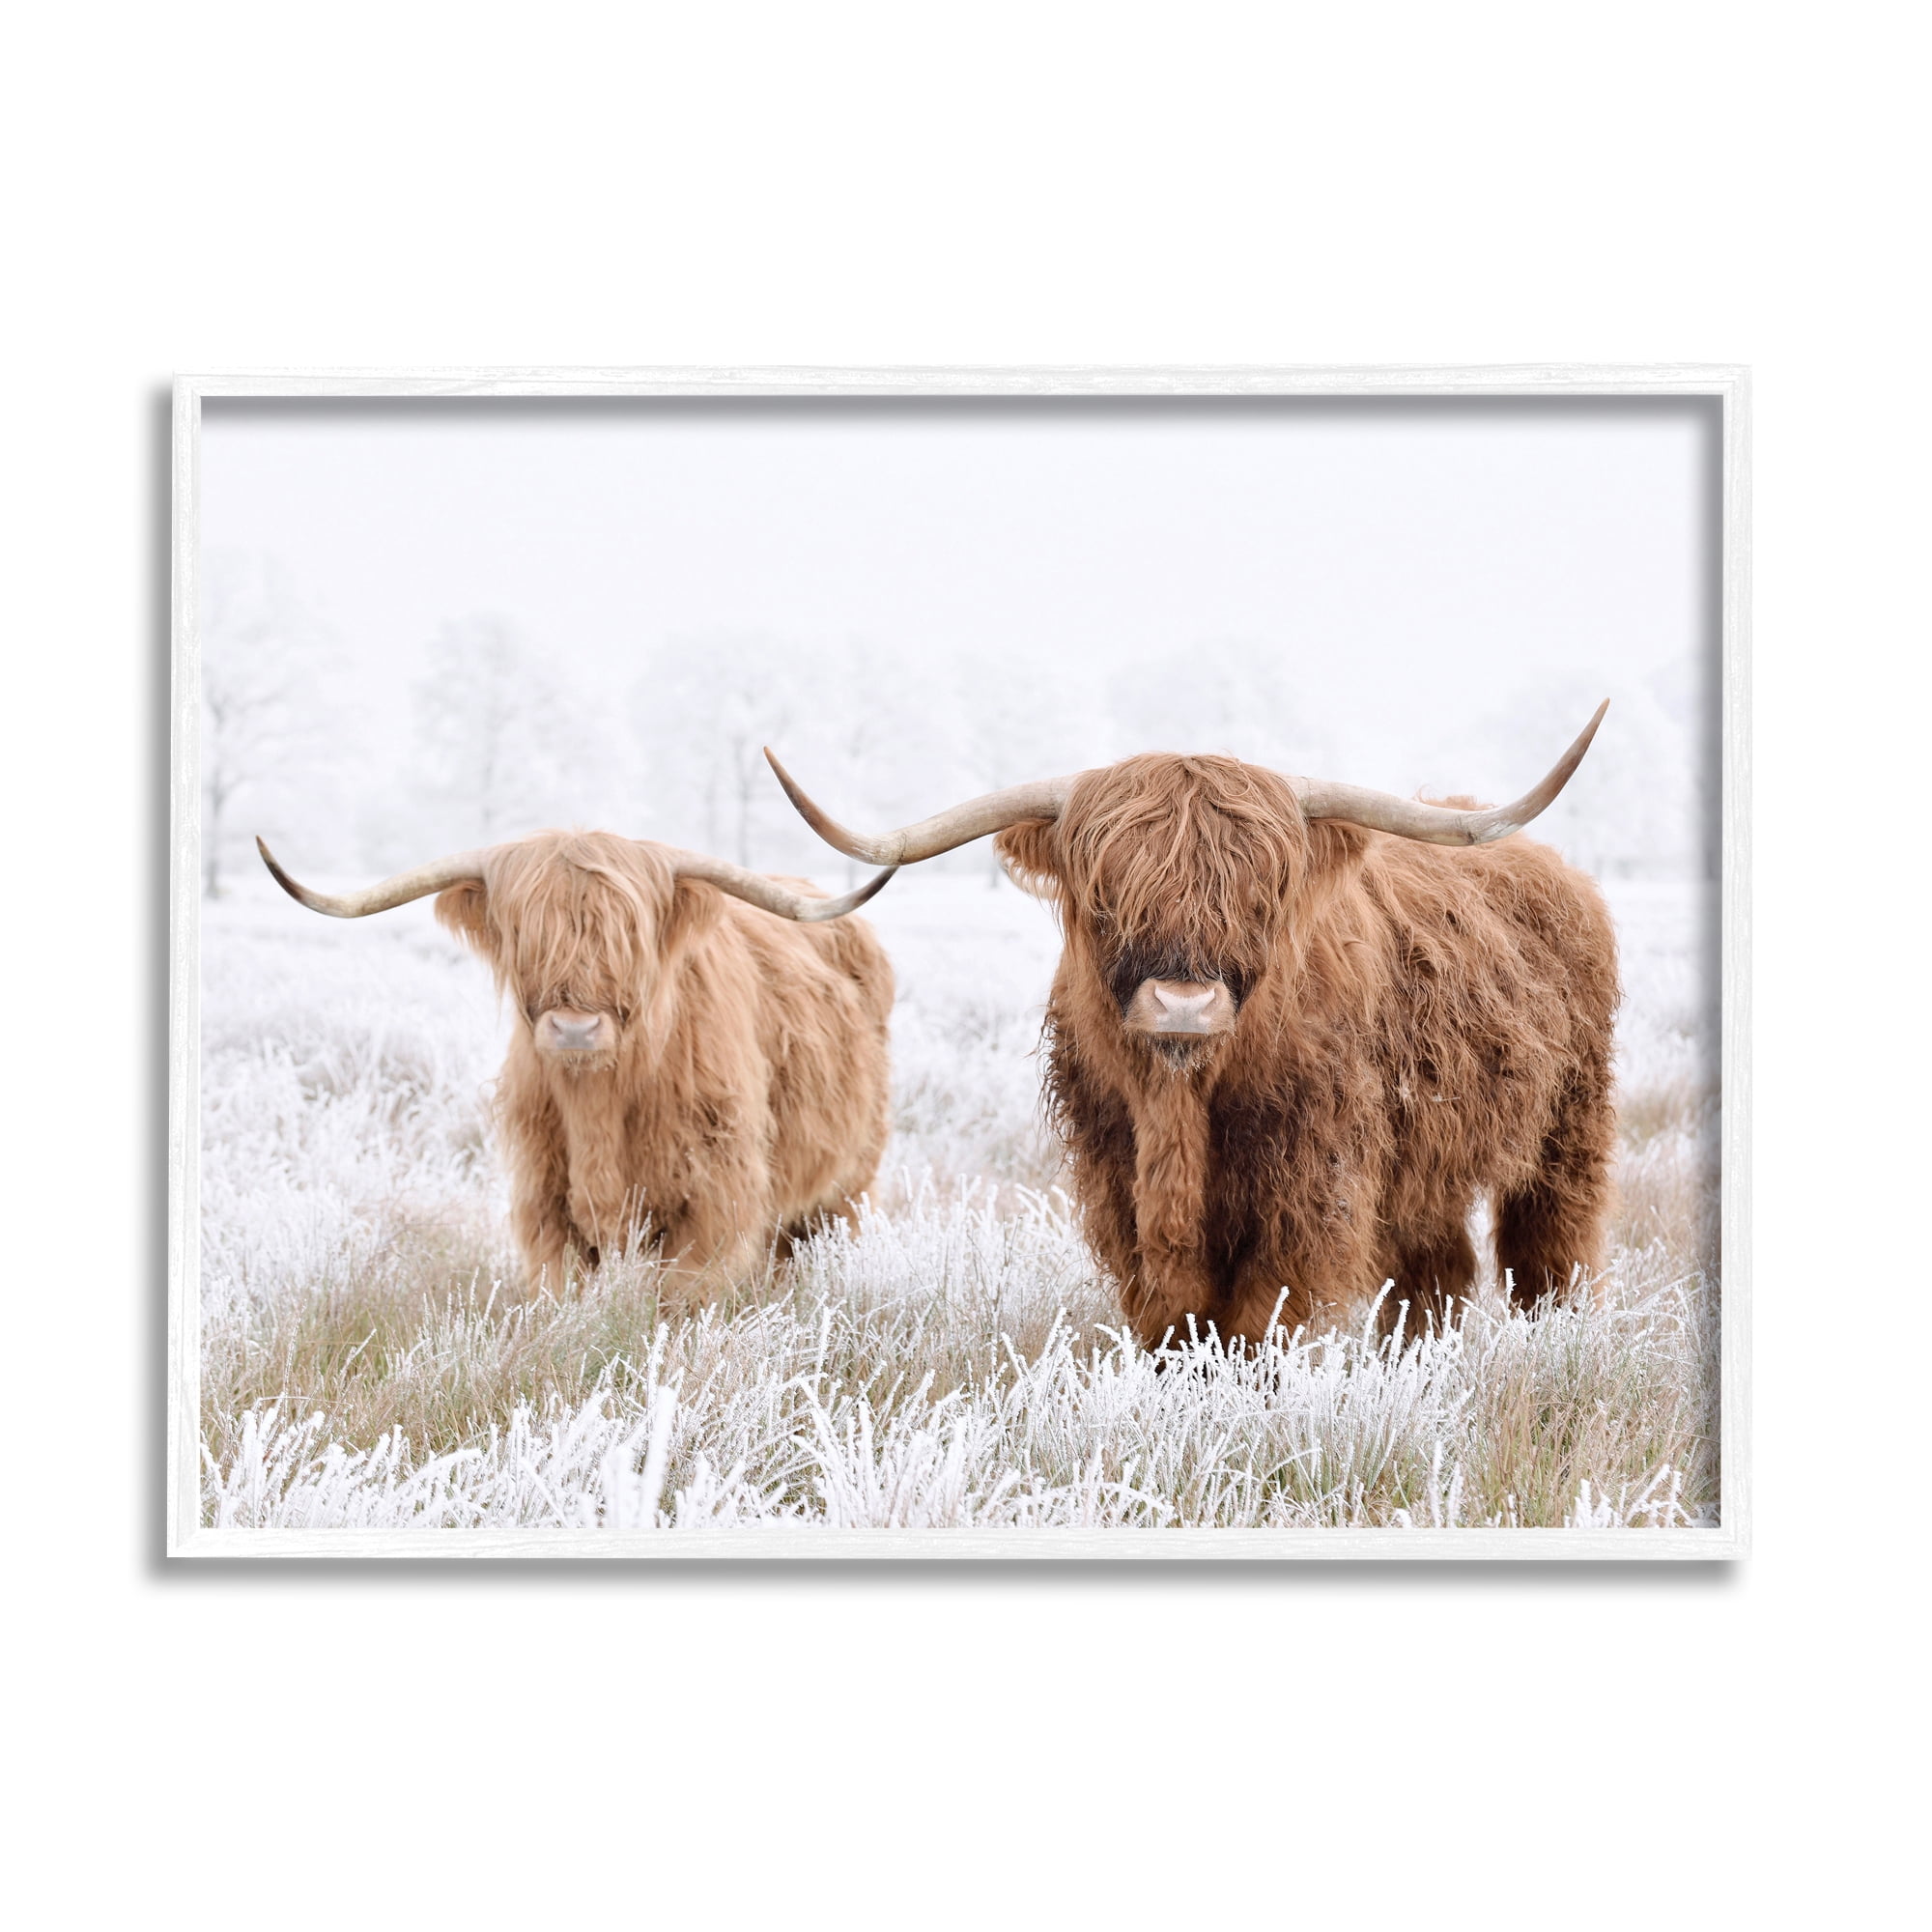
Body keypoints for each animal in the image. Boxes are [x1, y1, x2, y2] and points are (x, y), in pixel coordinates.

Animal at [258, 830, 898, 1292]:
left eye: (629, 936)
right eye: (525, 934)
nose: (574, 1028)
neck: (600, 1107)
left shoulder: (714, 1203)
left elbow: (682, 1300)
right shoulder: (545, 1204)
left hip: (846, 1186)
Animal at [764, 705, 1617, 1348]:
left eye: (1261, 895)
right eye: (1105, 895)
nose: (1182, 1005)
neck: (1180, 1107)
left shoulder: (1310, 1189)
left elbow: (1258, 1321)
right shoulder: (1119, 1182)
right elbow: (1172, 1320)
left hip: (1569, 1125)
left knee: (1549, 1250)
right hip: (1428, 1165)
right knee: (1436, 1271)